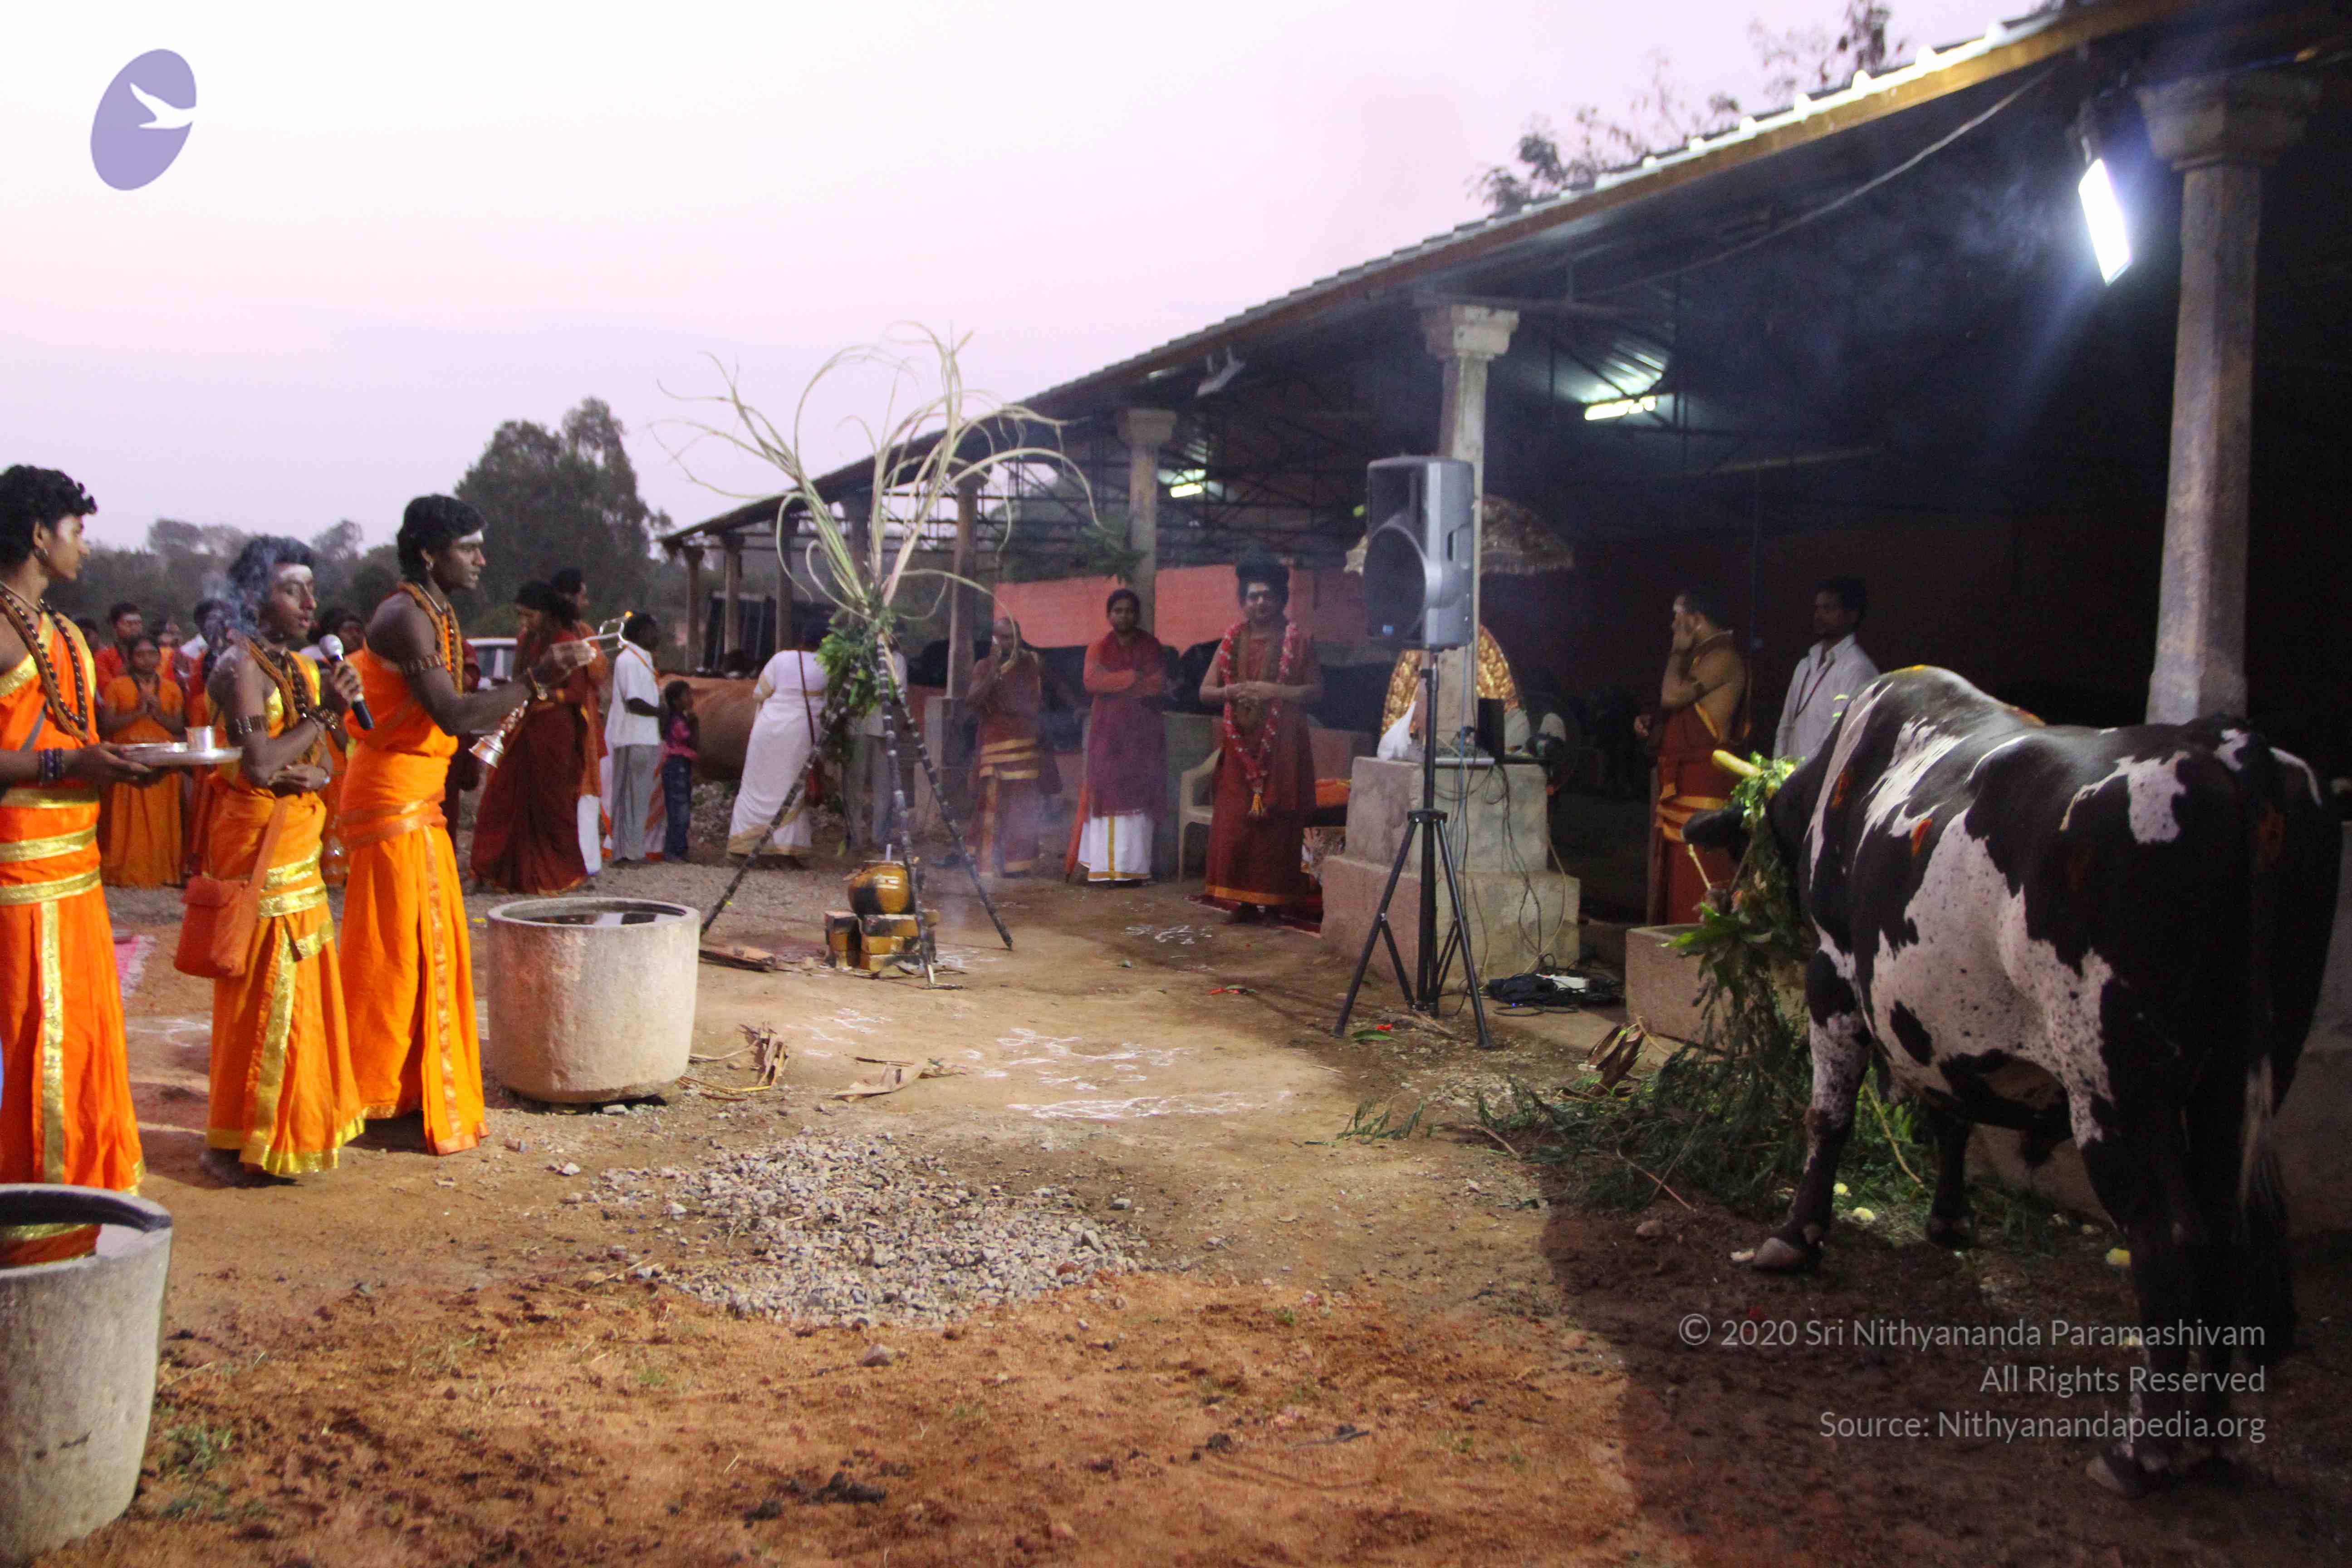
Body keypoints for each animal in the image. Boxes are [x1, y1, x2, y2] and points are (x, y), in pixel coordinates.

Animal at [1684, 666, 2340, 1496]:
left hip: (2114, 1083)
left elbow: (1827, 1116)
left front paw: (1794, 1238)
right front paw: (1948, 1219)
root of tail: (2224, 748)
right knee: (2227, 1227)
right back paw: (2208, 1430)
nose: (1731, 903)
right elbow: (1951, 1116)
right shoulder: (1939, 1020)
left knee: (2170, 1235)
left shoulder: (1833, 971)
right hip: (2246, 1073)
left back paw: (2140, 1451)